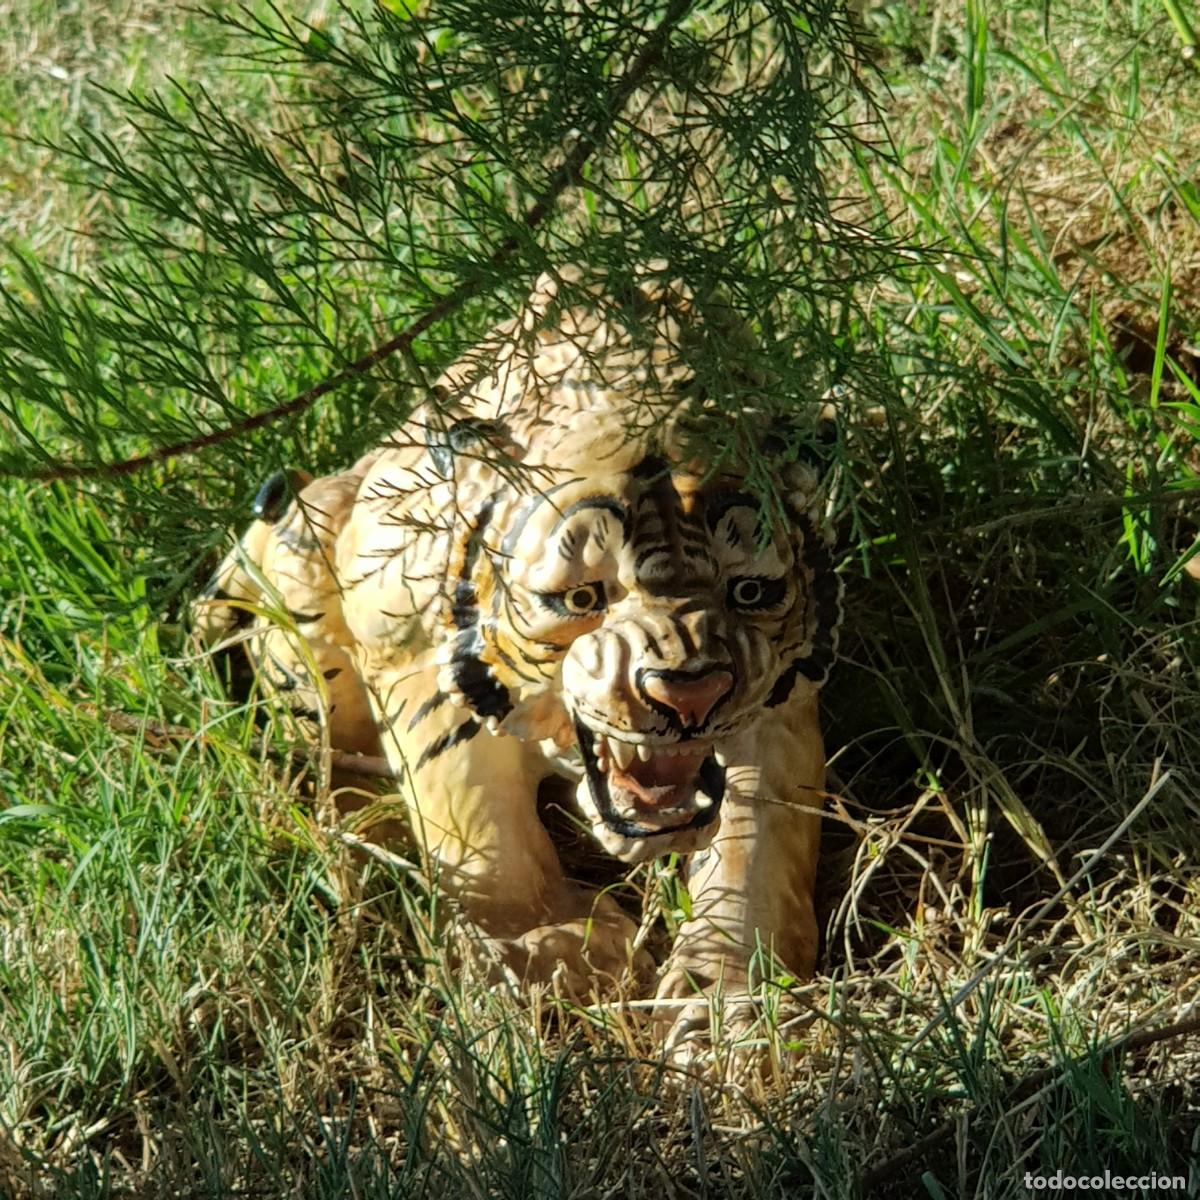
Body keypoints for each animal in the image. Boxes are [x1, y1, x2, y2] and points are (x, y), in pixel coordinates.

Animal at [193, 266, 841, 1024]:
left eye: (750, 592)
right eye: (582, 599)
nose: (690, 692)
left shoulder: (777, 705)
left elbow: (757, 841)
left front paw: (730, 1001)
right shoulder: (417, 668)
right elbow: (478, 826)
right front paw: (556, 951)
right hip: (310, 552)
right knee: (334, 765)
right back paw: (373, 855)